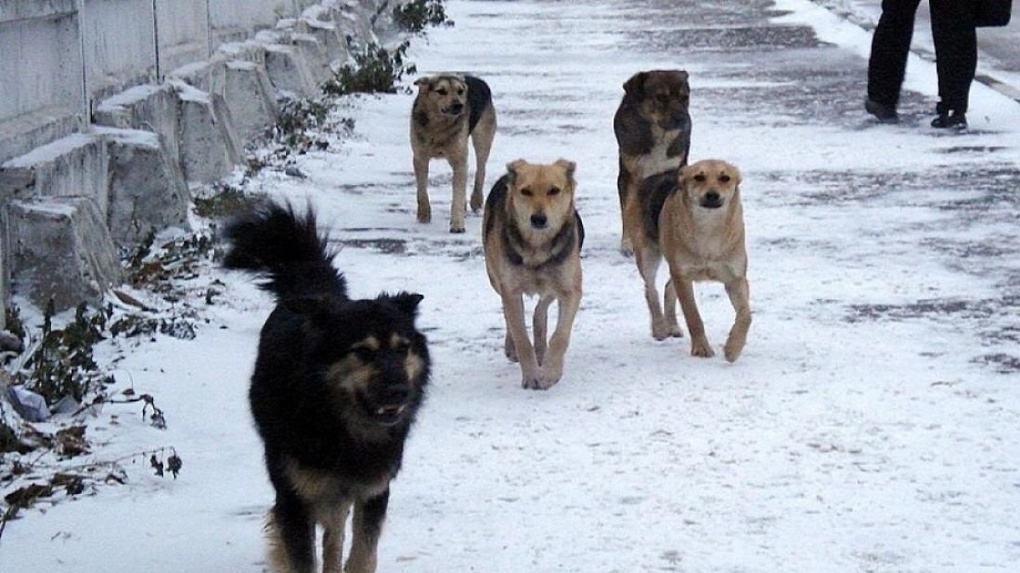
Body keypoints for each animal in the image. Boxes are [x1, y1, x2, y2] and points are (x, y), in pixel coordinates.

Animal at [223, 200, 430, 570]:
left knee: (335, 535)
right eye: (363, 352)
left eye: (403, 348)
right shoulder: (295, 496)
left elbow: (362, 553)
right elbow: (303, 558)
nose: (400, 392)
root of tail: (314, 290)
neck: (339, 424)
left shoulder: (373, 490)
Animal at [410, 72, 497, 232]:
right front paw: (424, 215)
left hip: (482, 137)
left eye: (460, 91)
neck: (439, 127)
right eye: (441, 91)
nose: (458, 105)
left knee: (481, 168)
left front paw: (457, 224)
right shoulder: (420, 157)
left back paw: (476, 200)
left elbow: (457, 194)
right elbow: (422, 189)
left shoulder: (458, 158)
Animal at [483, 155, 587, 387]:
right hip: (494, 277)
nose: (538, 219)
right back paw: (512, 347)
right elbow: (521, 336)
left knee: (541, 309)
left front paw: (550, 373)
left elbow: (560, 336)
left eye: (554, 191)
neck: (537, 248)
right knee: (509, 313)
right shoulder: (510, 289)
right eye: (526, 191)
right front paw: (531, 376)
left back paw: (542, 350)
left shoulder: (570, 289)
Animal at [612, 67, 693, 252]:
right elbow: (627, 209)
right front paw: (627, 243)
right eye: (661, 97)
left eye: (685, 97)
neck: (659, 135)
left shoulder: (674, 169)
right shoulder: (629, 175)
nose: (683, 119)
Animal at [628, 158, 750, 358]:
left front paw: (733, 348)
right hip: (647, 254)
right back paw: (659, 328)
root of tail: (654, 176)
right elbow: (693, 316)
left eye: (725, 178)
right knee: (650, 289)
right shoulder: (683, 276)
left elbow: (746, 315)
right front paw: (701, 348)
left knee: (667, 287)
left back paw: (672, 325)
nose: (712, 195)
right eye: (699, 177)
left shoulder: (736, 278)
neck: (709, 229)